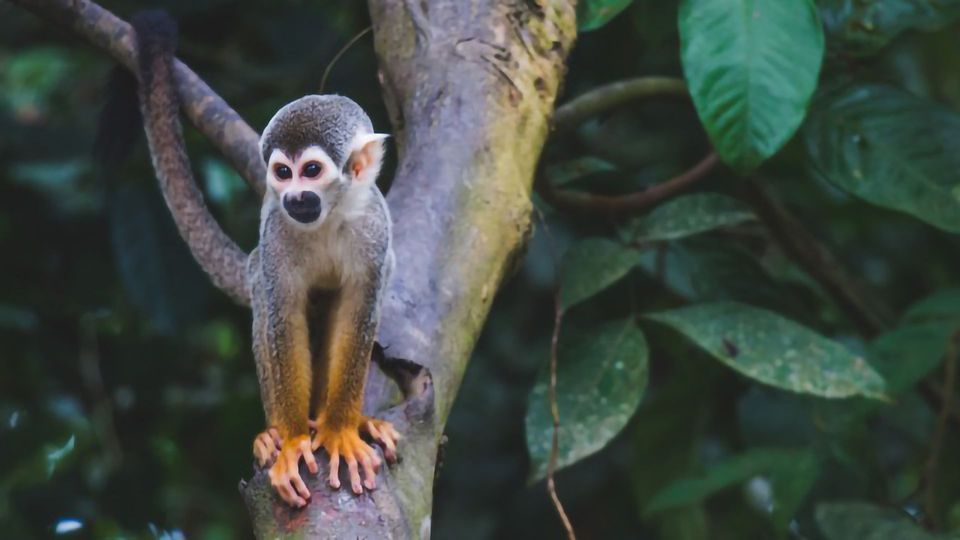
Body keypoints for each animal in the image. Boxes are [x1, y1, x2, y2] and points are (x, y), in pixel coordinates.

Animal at [129, 12, 400, 508]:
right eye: (282, 172)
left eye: (310, 171)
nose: (294, 197)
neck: (330, 216)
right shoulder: (276, 231)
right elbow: (282, 316)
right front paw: (292, 442)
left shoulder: (375, 226)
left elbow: (359, 310)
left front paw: (341, 430)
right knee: (265, 297)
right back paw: (273, 435)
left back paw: (353, 420)